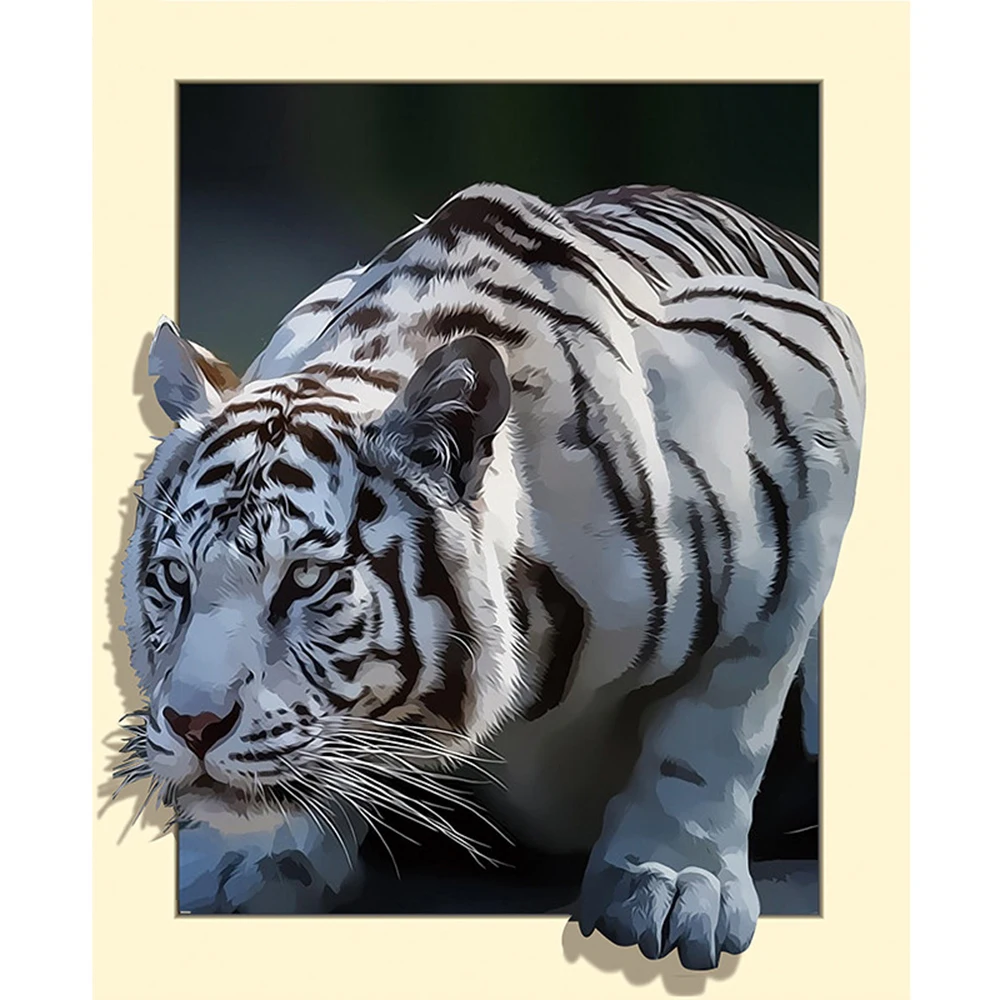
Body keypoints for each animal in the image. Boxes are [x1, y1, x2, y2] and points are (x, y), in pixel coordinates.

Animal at [119, 182, 863, 969]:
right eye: (174, 577)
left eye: (305, 579)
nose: (193, 726)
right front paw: (249, 853)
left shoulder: (809, 403)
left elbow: (720, 717)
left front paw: (672, 883)